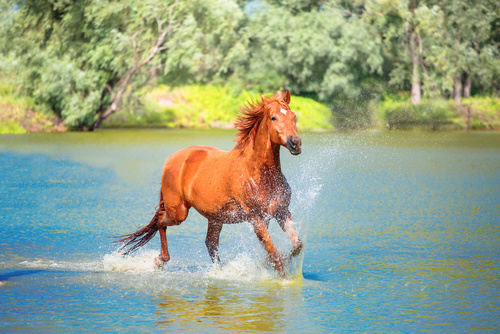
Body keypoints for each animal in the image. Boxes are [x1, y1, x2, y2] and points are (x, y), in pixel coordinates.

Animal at [117, 88, 302, 276]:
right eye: (273, 117)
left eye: (293, 116)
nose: (295, 143)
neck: (259, 176)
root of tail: (172, 157)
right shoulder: (256, 218)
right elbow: (274, 254)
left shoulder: (281, 212)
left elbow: (297, 245)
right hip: (178, 211)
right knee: (161, 220)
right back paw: (160, 261)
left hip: (215, 217)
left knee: (210, 243)